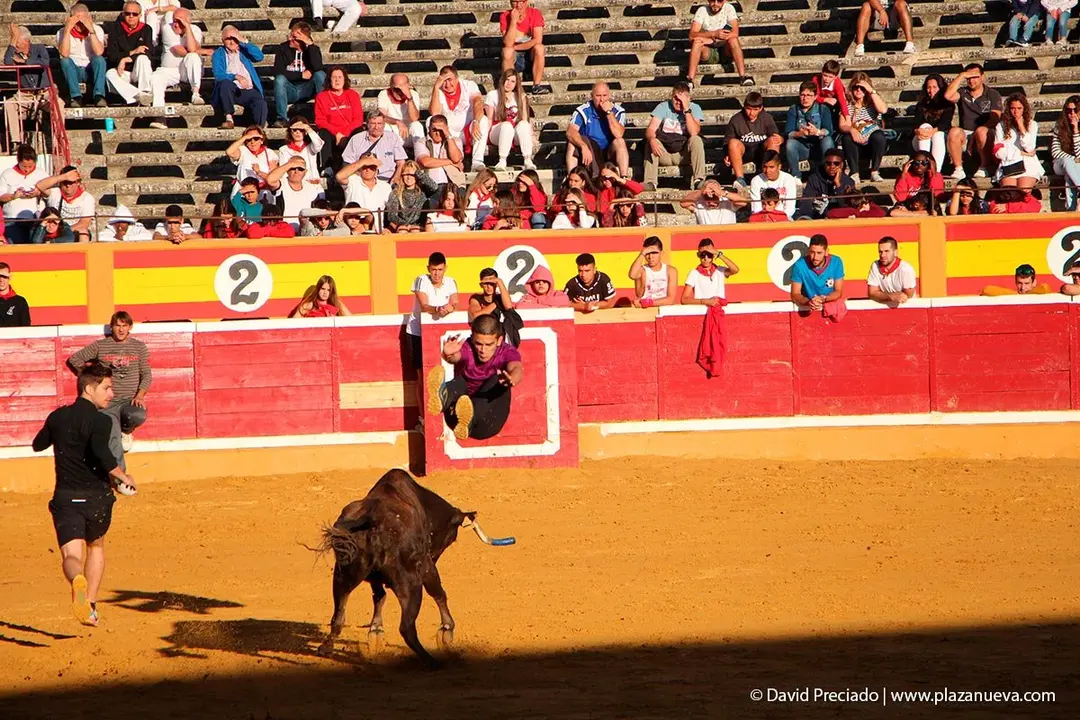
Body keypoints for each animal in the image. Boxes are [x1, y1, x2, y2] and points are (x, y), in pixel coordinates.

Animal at [317, 468, 475, 666]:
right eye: (451, 537)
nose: (436, 554)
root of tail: (374, 521)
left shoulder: (374, 579)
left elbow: (379, 597)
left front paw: (376, 631)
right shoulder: (426, 566)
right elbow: (438, 593)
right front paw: (447, 630)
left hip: (342, 575)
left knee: (338, 617)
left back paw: (325, 647)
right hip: (411, 584)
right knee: (406, 628)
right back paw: (432, 662)